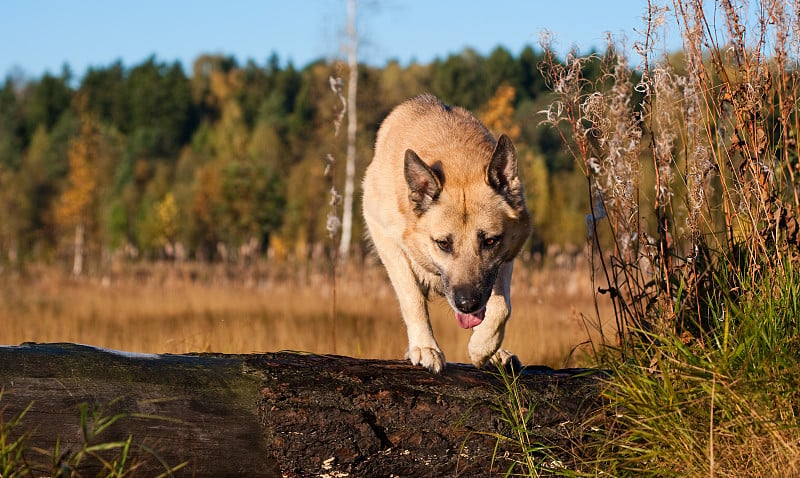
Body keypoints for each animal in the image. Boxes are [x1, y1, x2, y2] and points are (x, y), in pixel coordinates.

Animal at [364, 92, 532, 370]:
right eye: (443, 244)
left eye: (490, 241)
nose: (467, 304)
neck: (458, 163)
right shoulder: (385, 237)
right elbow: (413, 298)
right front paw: (425, 348)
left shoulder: (507, 256)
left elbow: (501, 307)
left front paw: (482, 348)